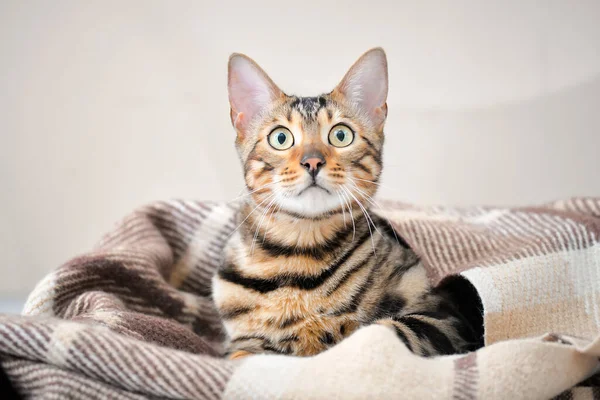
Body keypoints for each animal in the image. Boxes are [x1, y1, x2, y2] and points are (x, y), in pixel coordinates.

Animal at [211, 47, 478, 360]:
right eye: (280, 138)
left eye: (341, 135)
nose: (312, 161)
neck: (300, 255)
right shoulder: (242, 339)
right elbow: (247, 357)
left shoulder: (443, 316)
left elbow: (383, 331)